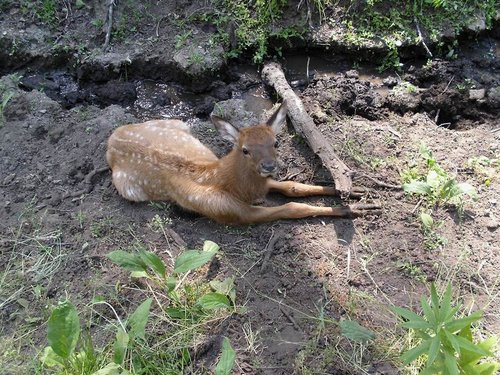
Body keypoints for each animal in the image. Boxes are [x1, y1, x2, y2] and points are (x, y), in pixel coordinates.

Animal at [106, 103, 378, 225]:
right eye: (245, 149)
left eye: (276, 142)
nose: (268, 166)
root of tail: (111, 140)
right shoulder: (231, 212)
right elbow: (291, 207)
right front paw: (353, 209)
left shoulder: (264, 185)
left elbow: (293, 187)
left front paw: (355, 191)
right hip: (128, 189)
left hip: (176, 123)